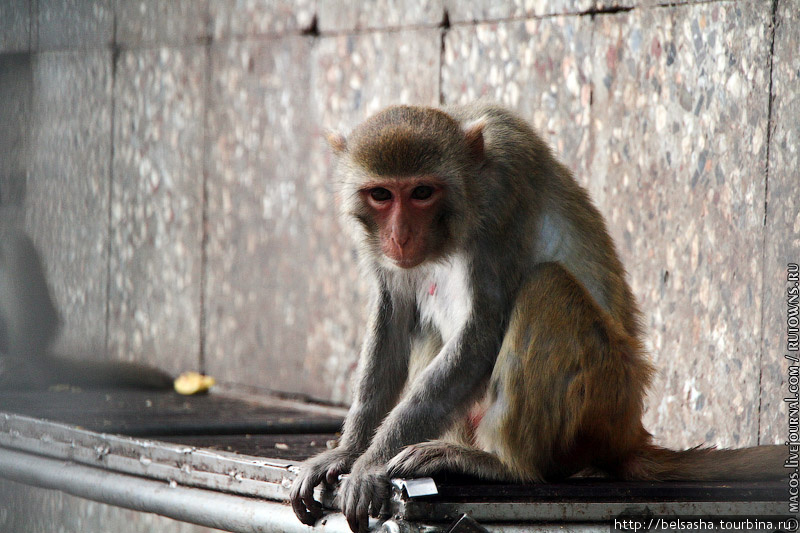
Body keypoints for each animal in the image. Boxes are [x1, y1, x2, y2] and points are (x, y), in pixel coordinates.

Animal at [290, 104, 784, 532]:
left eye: (422, 192)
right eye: (381, 195)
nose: (400, 235)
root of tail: (630, 431)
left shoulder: (503, 195)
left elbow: (482, 334)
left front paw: (370, 465)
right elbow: (394, 317)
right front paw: (348, 452)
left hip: (600, 400)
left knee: (546, 286)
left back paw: (504, 466)